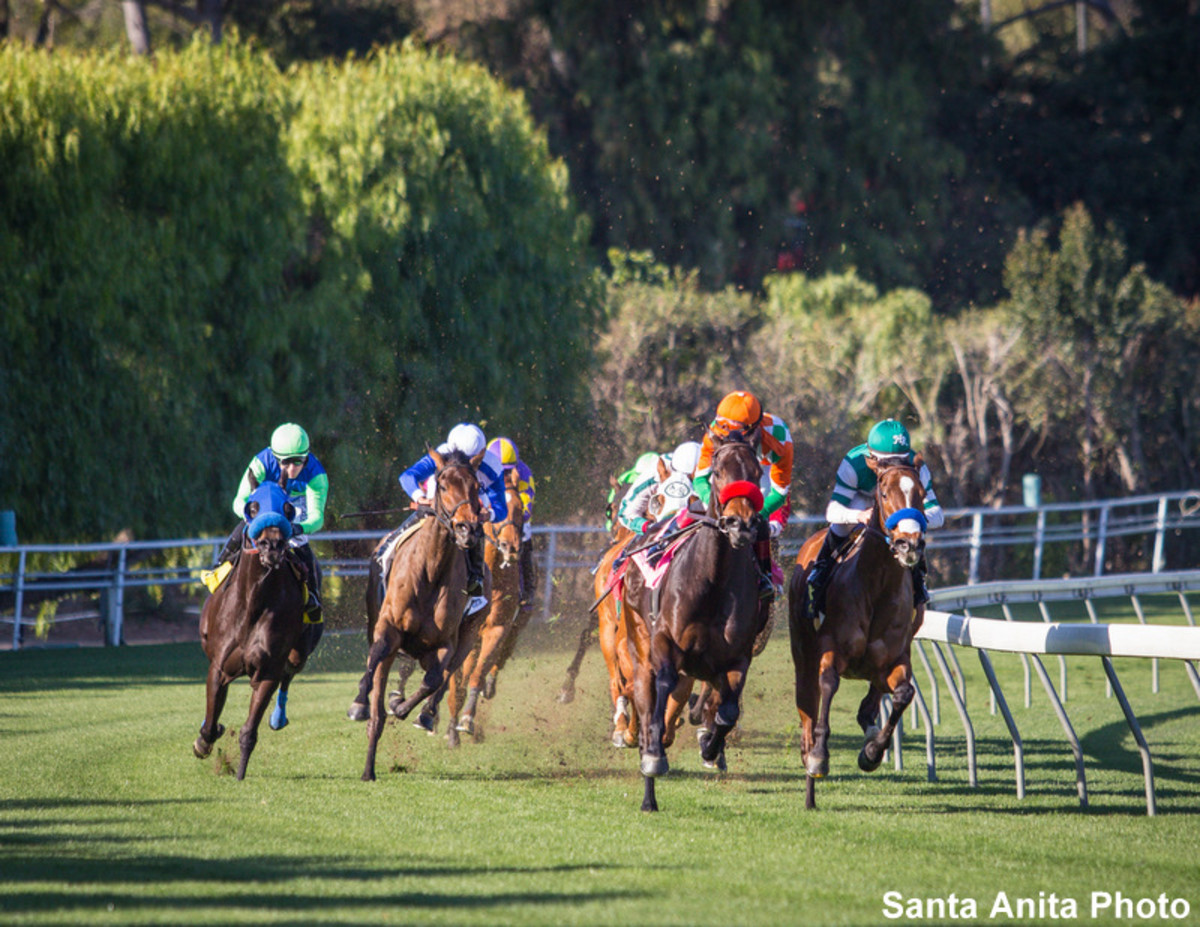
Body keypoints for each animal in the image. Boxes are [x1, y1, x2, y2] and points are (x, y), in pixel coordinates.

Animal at [188, 485, 309, 782]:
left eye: (287, 508)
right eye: (252, 507)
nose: (272, 546)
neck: (254, 601)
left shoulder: (268, 671)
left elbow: (249, 731)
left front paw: (240, 773)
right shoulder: (219, 667)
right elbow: (210, 724)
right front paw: (204, 741)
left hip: (298, 652)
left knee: (290, 672)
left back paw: (278, 718)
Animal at [355, 444, 492, 778]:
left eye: (476, 486)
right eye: (442, 485)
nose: (468, 529)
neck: (430, 570)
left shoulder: (446, 642)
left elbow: (434, 679)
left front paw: (407, 710)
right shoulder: (388, 628)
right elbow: (374, 662)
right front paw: (361, 703)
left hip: (467, 635)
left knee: (446, 676)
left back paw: (425, 714)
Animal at [446, 470, 525, 744]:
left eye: (521, 509)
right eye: (493, 507)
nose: (510, 547)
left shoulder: (497, 628)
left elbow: (477, 673)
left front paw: (467, 719)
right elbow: (455, 680)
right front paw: (451, 729)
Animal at [619, 427, 758, 811]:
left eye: (757, 471)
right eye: (719, 472)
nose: (740, 524)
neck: (712, 582)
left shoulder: (737, 656)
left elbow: (728, 711)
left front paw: (711, 747)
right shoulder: (665, 642)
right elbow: (661, 690)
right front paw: (653, 755)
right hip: (639, 643)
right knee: (645, 695)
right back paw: (648, 782)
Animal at [792, 451, 931, 806]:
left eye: (921, 493)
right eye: (883, 493)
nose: (909, 545)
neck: (877, 585)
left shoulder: (896, 658)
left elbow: (904, 694)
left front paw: (871, 753)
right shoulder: (831, 651)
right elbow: (828, 686)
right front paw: (819, 756)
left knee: (875, 698)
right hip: (803, 655)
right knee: (807, 710)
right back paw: (809, 786)